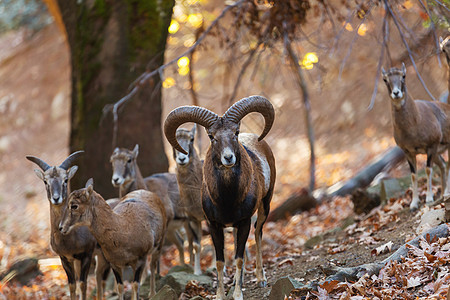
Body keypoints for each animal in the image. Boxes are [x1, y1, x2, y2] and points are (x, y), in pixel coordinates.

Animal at [25, 152, 102, 300]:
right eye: (45, 181)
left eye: (66, 180)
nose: (56, 198)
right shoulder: (65, 258)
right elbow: (72, 285)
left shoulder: (87, 254)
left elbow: (82, 284)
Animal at [164, 95, 276, 298]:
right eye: (211, 136)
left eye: (236, 132)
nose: (228, 158)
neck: (227, 199)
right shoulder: (214, 225)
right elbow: (220, 261)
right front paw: (220, 295)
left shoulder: (244, 222)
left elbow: (238, 259)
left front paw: (238, 295)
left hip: (265, 205)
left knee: (258, 234)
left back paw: (261, 279)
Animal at [382, 63, 450, 210]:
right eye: (385, 79)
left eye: (403, 76)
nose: (396, 93)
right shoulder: (409, 153)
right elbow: (413, 175)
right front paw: (414, 204)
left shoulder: (431, 147)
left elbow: (428, 170)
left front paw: (429, 199)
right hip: (437, 154)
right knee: (443, 165)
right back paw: (443, 193)